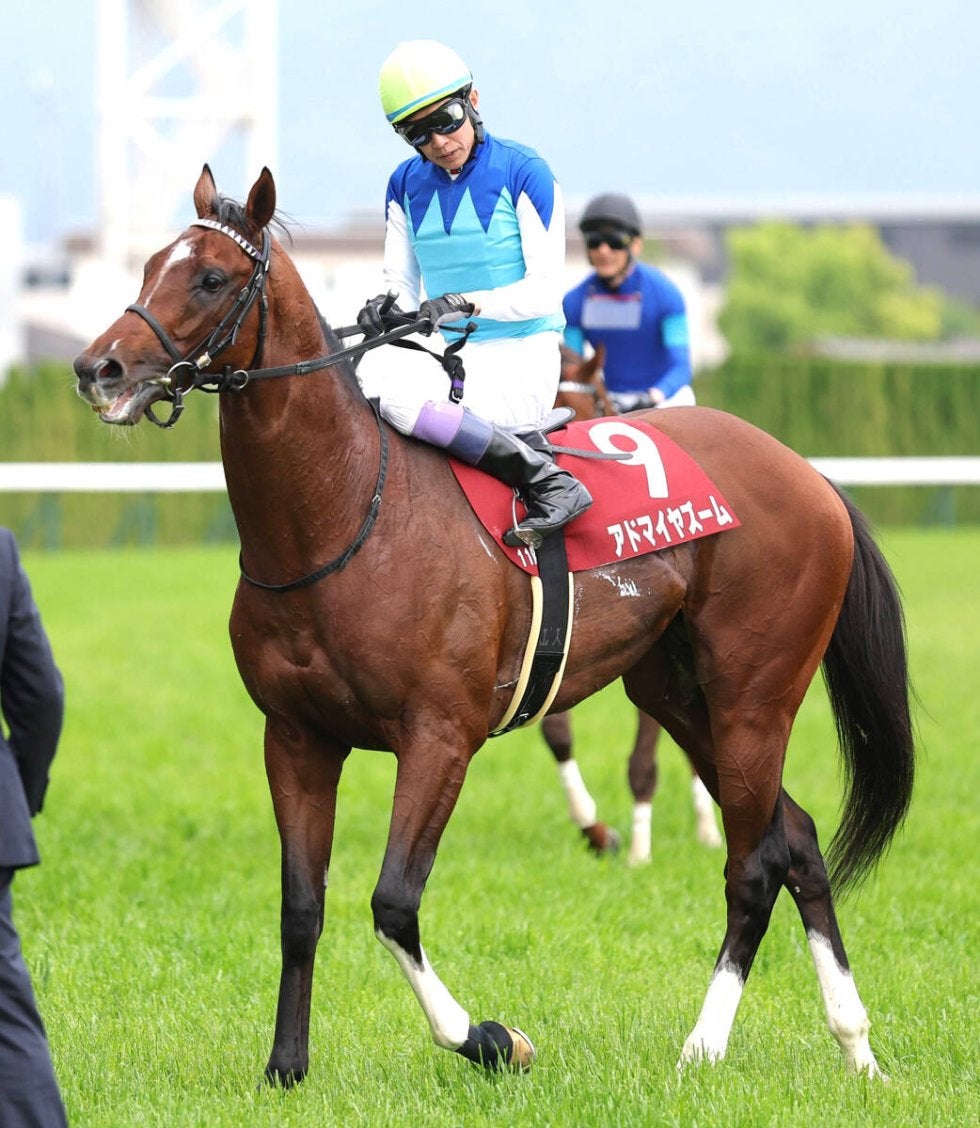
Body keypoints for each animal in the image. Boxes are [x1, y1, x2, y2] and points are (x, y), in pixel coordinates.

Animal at [549, 344, 723, 860]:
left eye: (591, 409)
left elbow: (648, 745)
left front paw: (639, 847)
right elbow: (556, 731)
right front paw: (595, 828)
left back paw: (707, 826)